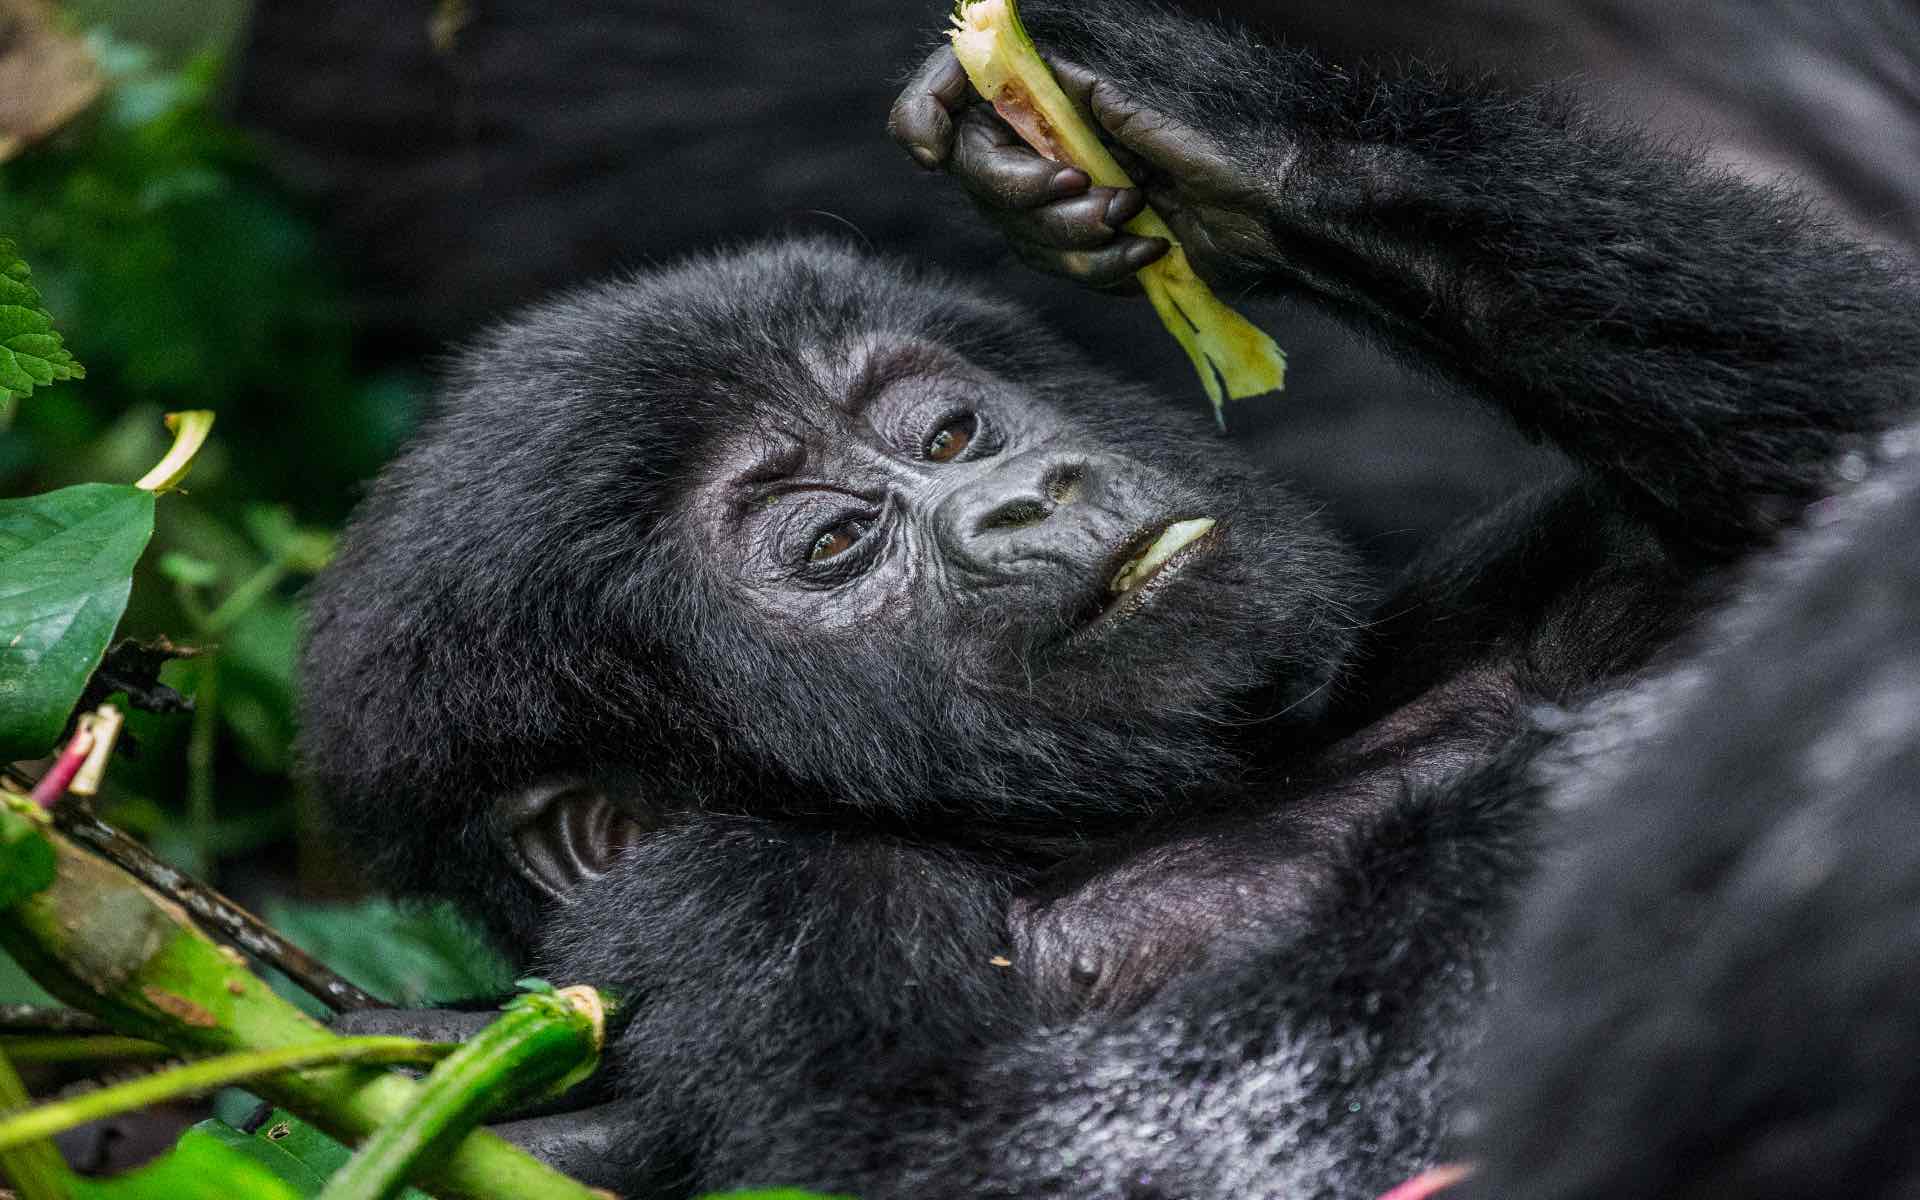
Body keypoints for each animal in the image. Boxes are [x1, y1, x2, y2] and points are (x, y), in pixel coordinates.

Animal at [299, 2, 1920, 1198]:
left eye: (949, 434)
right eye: (833, 546)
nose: (1030, 493)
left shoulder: (1519, 596)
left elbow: (1858, 458)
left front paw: (1209, 134)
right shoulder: (753, 907)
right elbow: (997, 1147)